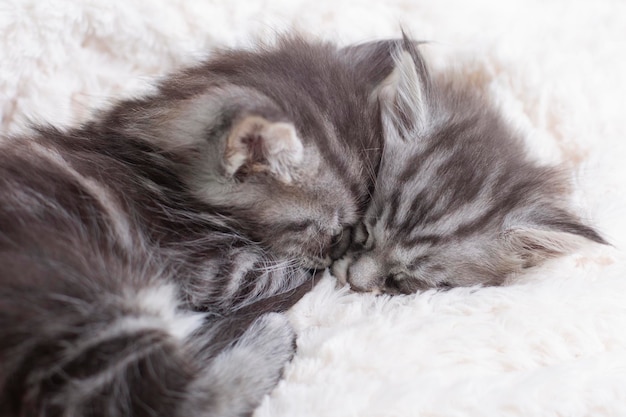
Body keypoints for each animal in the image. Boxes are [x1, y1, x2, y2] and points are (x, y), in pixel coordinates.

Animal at [1, 35, 394, 416]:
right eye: (332, 231)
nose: (340, 252)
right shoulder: (202, 265)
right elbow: (274, 273)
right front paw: (314, 274)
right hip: (86, 297)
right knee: (163, 400)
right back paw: (271, 339)